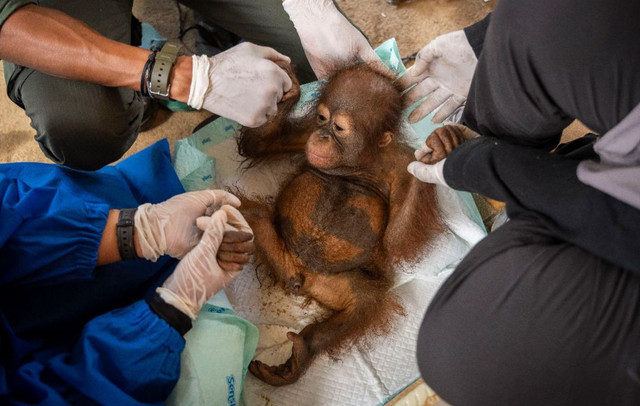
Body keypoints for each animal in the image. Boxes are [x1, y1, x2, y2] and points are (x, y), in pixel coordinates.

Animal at [235, 63, 444, 386]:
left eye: (339, 128)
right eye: (322, 118)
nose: (322, 136)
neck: (360, 160)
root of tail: (298, 273)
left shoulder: (401, 163)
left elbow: (394, 241)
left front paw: (435, 156)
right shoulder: (306, 133)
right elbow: (261, 144)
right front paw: (289, 91)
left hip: (329, 282)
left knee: (365, 300)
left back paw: (302, 351)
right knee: (249, 215)